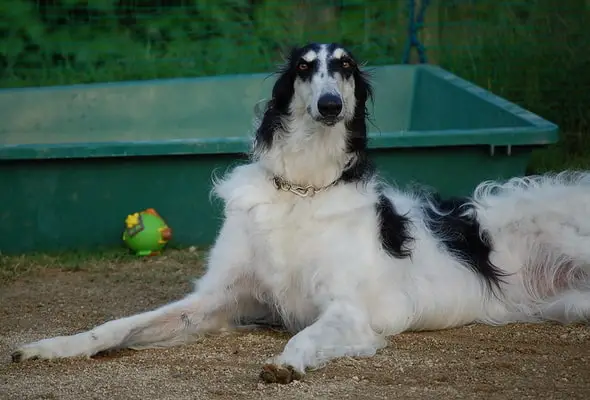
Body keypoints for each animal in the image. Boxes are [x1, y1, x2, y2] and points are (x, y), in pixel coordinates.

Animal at [11, 43, 590, 384]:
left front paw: (285, 363)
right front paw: (51, 346)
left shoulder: (349, 312)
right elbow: (116, 325)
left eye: (347, 68)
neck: (302, 189)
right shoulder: (215, 300)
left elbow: (304, 336)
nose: (330, 105)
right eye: (306, 68)